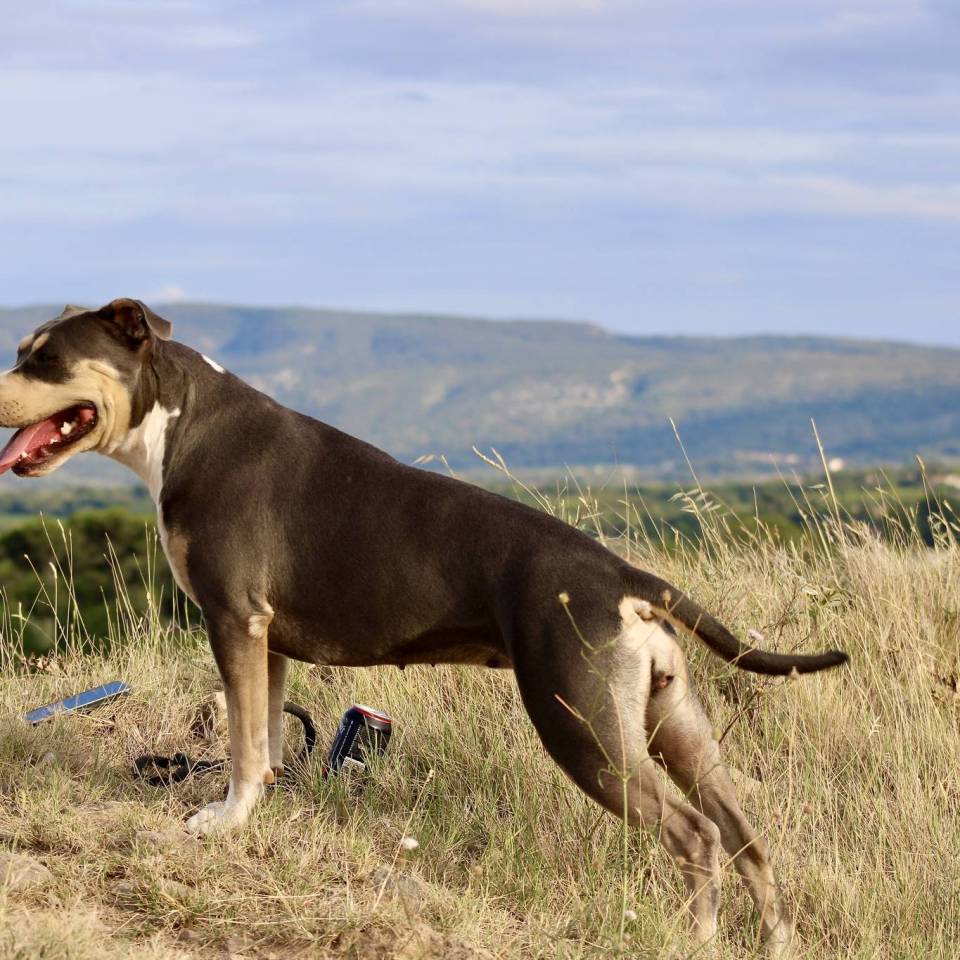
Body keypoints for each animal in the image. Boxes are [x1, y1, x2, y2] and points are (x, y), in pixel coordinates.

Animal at [0, 300, 848, 952]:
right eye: (22, 352)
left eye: (49, 360)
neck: (181, 420)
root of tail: (623, 579)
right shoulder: (264, 639)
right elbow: (264, 735)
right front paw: (258, 808)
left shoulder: (234, 618)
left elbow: (241, 742)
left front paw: (223, 821)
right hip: (676, 726)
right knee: (744, 835)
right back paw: (774, 939)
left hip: (585, 728)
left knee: (694, 835)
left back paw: (694, 939)